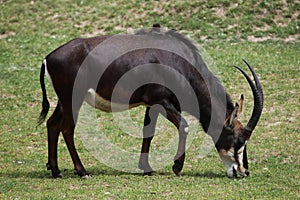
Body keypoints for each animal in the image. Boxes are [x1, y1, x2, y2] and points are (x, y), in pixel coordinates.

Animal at [37, 24, 262, 178]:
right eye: (239, 140)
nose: (244, 171)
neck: (180, 63)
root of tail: (49, 57)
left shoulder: (152, 104)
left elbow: (148, 132)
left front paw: (146, 169)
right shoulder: (163, 101)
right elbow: (184, 125)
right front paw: (177, 167)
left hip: (63, 101)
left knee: (52, 124)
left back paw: (55, 170)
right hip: (72, 99)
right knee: (67, 128)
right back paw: (82, 171)